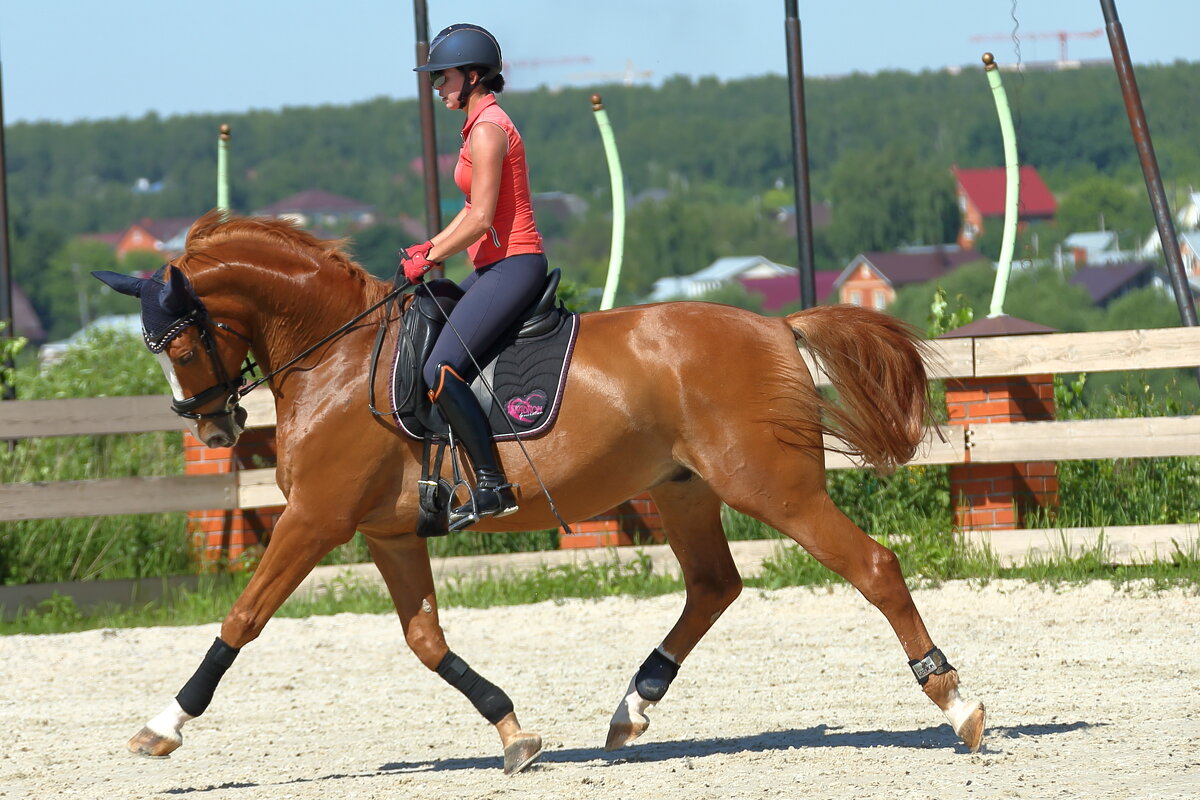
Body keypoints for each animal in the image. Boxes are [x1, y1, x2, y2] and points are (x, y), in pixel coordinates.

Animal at [93, 211, 984, 777]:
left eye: (179, 343)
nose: (214, 427)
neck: (338, 355)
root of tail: (775, 326)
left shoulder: (316, 519)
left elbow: (242, 618)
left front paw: (162, 726)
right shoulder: (389, 533)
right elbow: (425, 641)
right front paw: (513, 731)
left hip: (773, 487)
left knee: (873, 568)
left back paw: (955, 705)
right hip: (685, 489)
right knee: (713, 586)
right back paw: (631, 710)